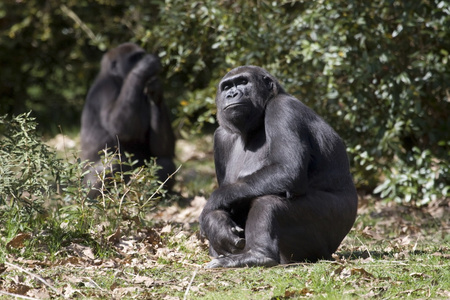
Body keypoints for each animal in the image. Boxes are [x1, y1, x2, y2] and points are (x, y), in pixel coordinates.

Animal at [80, 43, 175, 196]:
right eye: (134, 58)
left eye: (141, 55)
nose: (141, 59)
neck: (118, 78)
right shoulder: (105, 88)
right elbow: (118, 126)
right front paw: (142, 68)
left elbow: (163, 151)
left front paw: (155, 90)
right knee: (111, 163)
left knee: (166, 163)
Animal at [200, 65, 358, 268]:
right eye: (226, 87)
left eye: (243, 82)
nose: (232, 94)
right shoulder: (220, 136)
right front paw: (215, 222)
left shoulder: (282, 109)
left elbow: (288, 171)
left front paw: (210, 207)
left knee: (269, 202)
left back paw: (258, 255)